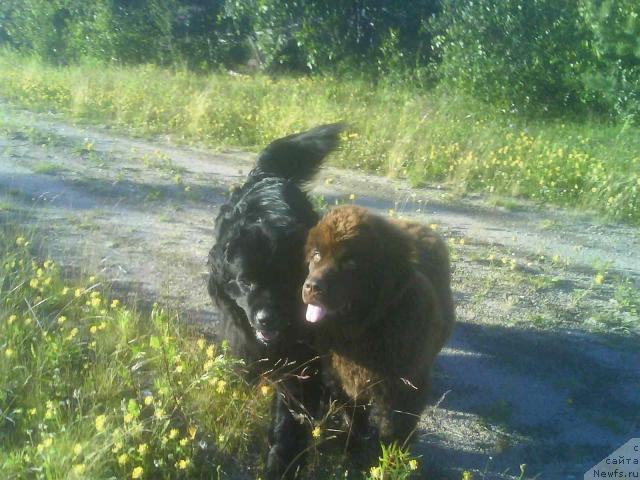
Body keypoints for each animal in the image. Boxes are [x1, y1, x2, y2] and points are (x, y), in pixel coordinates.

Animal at [208, 123, 342, 476]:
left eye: (285, 282)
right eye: (245, 281)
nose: (265, 318)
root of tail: (267, 176)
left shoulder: (303, 359)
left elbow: (290, 416)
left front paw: (281, 462)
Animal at [302, 205, 452, 446]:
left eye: (351, 264)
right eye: (316, 255)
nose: (312, 287)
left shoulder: (407, 386)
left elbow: (397, 426)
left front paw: (393, 452)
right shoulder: (343, 379)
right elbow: (354, 413)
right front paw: (355, 438)